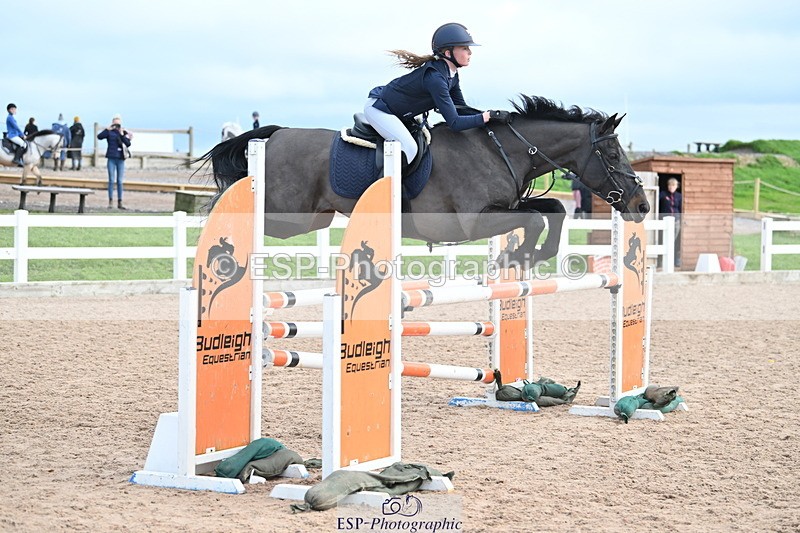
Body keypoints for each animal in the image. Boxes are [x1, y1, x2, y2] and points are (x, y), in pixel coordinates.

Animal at [199, 96, 650, 268]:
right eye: (613, 155)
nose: (642, 206)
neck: (501, 149)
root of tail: (271, 135)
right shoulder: (474, 220)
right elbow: (536, 219)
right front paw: (518, 256)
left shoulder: (506, 208)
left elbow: (551, 209)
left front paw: (530, 257)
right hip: (292, 217)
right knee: (228, 210)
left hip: (313, 218)